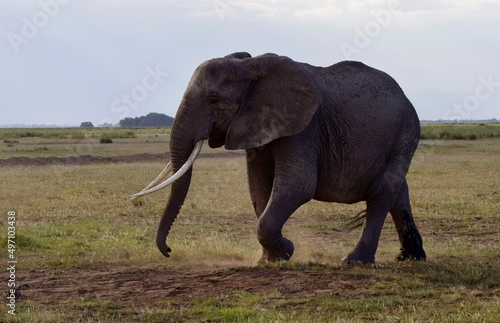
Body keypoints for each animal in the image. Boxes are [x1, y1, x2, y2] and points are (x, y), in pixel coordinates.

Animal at [132, 52, 426, 266]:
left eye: (214, 100)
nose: (168, 250)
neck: (250, 68)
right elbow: (258, 186)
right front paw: (270, 260)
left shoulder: (304, 128)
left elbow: (297, 186)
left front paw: (286, 250)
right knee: (398, 190)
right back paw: (410, 258)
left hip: (405, 133)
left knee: (382, 191)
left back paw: (355, 262)